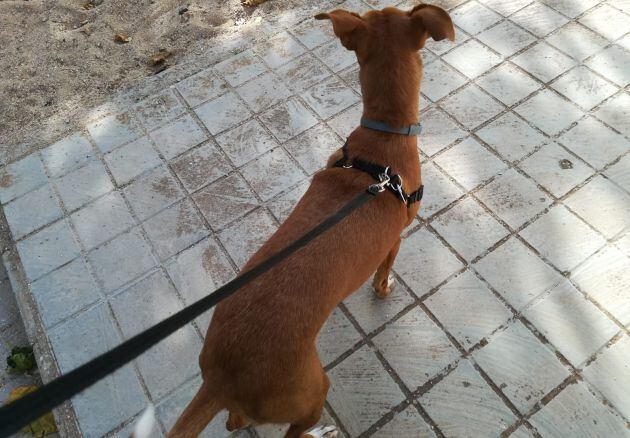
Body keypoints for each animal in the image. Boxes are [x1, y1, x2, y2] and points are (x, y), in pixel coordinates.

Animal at [168, 4, 454, 438]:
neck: (382, 140)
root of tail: (222, 377)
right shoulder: (396, 238)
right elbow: (383, 272)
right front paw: (384, 290)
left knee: (236, 420)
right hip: (314, 391)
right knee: (294, 430)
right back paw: (321, 431)